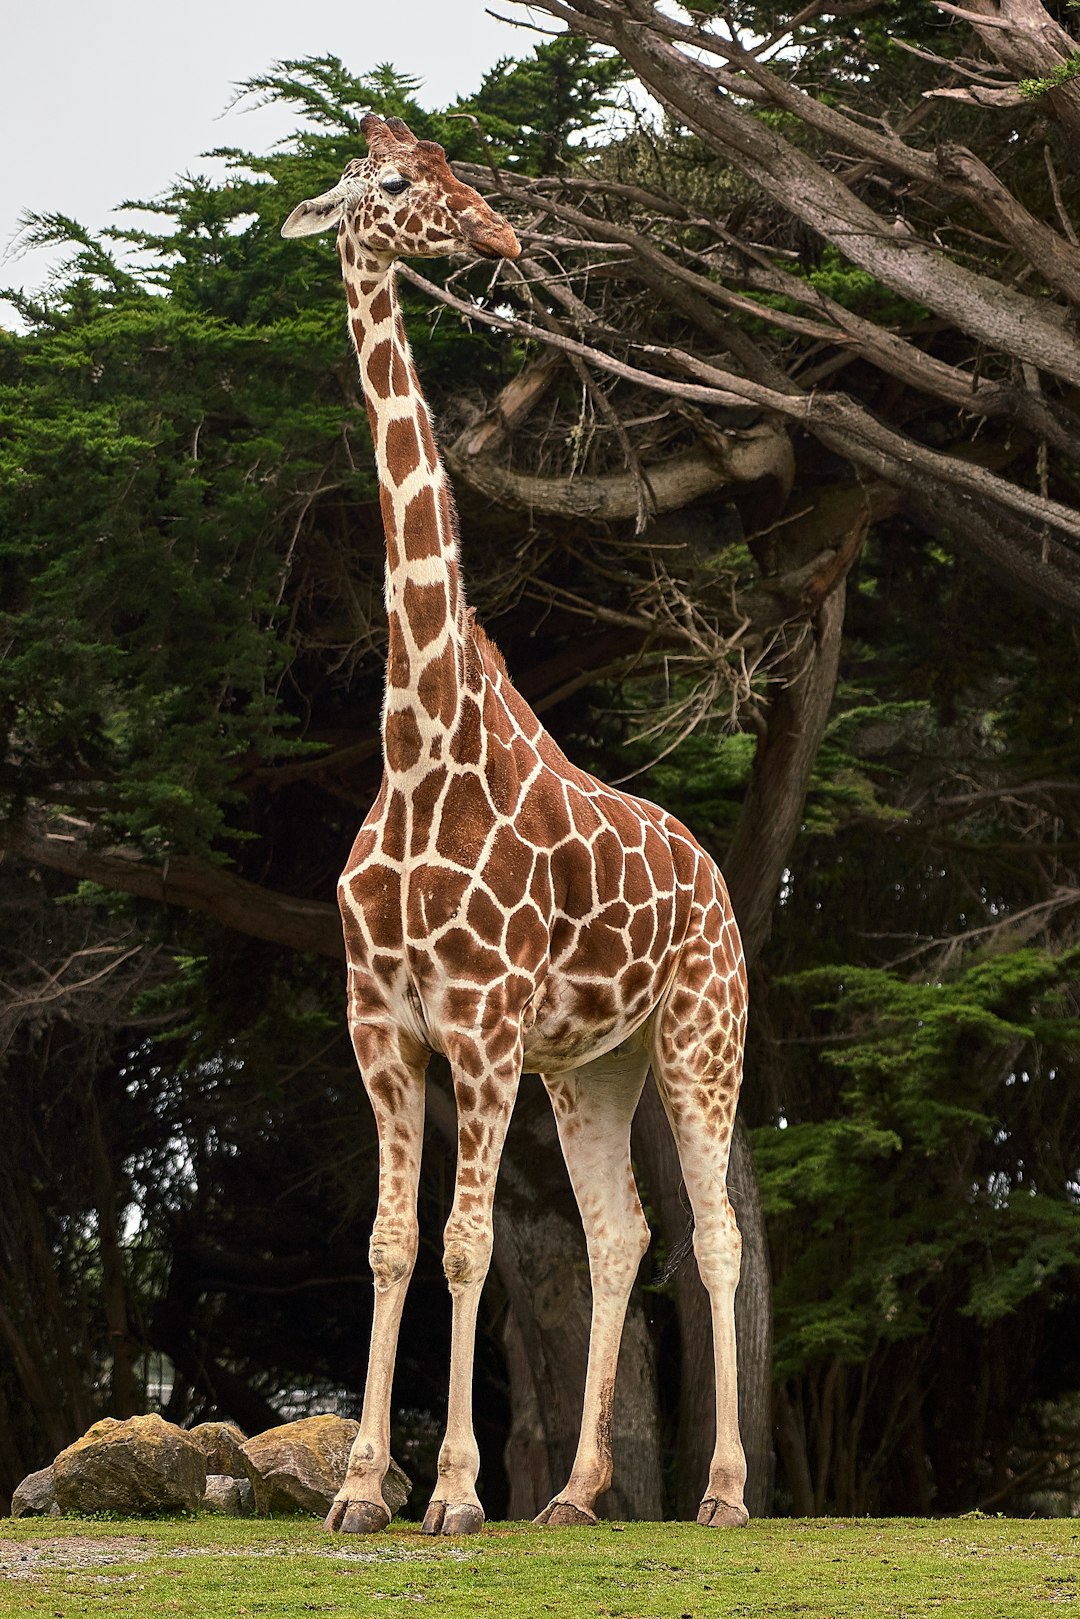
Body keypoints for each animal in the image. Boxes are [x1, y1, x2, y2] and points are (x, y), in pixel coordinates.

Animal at [283, 110, 748, 1528]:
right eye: (392, 181)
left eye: (453, 167)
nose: (497, 236)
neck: (419, 744)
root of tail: (716, 875)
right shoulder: (383, 1025)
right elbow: (392, 1241)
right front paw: (361, 1488)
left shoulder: (480, 1024)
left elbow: (468, 1242)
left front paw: (450, 1491)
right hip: (590, 1065)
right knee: (620, 1232)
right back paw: (580, 1492)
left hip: (701, 1032)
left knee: (713, 1231)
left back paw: (722, 1491)